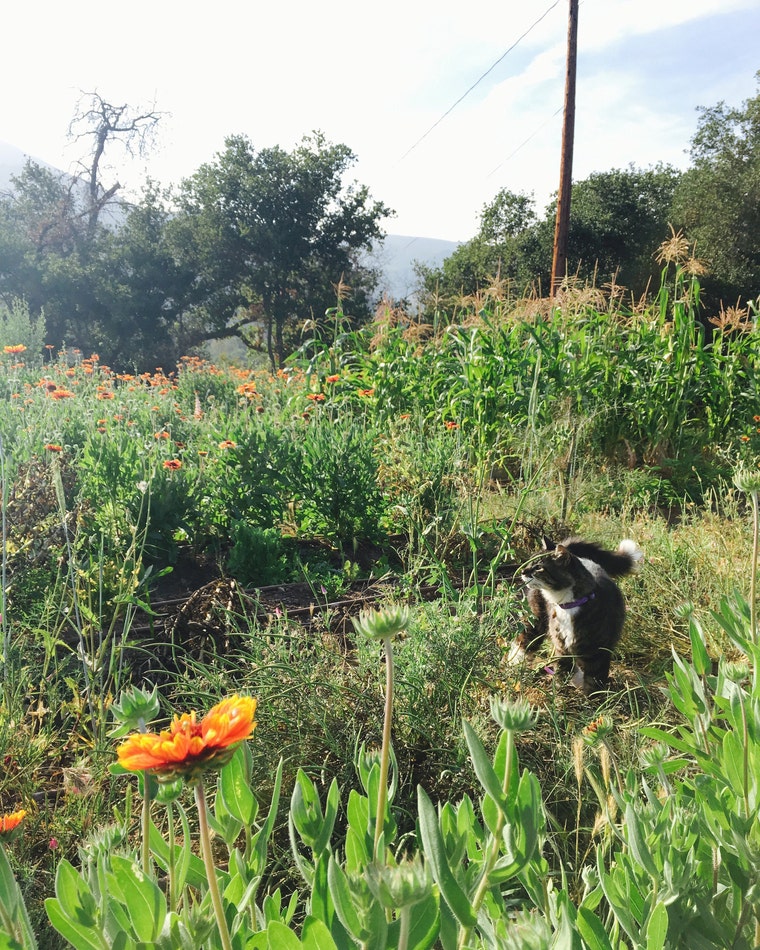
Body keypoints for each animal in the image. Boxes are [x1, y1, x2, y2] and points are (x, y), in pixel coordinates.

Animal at [507, 537, 643, 694]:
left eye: (538, 567)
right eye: (529, 562)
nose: (523, 571)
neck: (569, 605)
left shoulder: (599, 651)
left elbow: (594, 680)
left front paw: (593, 697)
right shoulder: (562, 646)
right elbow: (563, 670)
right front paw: (560, 692)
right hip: (536, 620)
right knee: (524, 640)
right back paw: (514, 662)